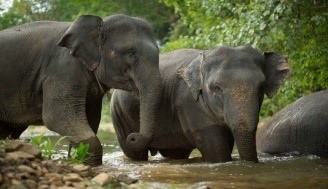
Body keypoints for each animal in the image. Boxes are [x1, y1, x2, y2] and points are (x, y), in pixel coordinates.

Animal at [0, 14, 161, 166]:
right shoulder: (61, 71)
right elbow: (56, 116)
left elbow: (91, 119)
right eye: (130, 53)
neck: (99, 25)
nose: (132, 136)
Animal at [110, 44, 290, 162]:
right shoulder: (189, 103)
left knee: (175, 152)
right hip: (119, 115)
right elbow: (217, 150)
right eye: (216, 88)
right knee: (135, 154)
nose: (133, 135)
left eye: (261, 87)